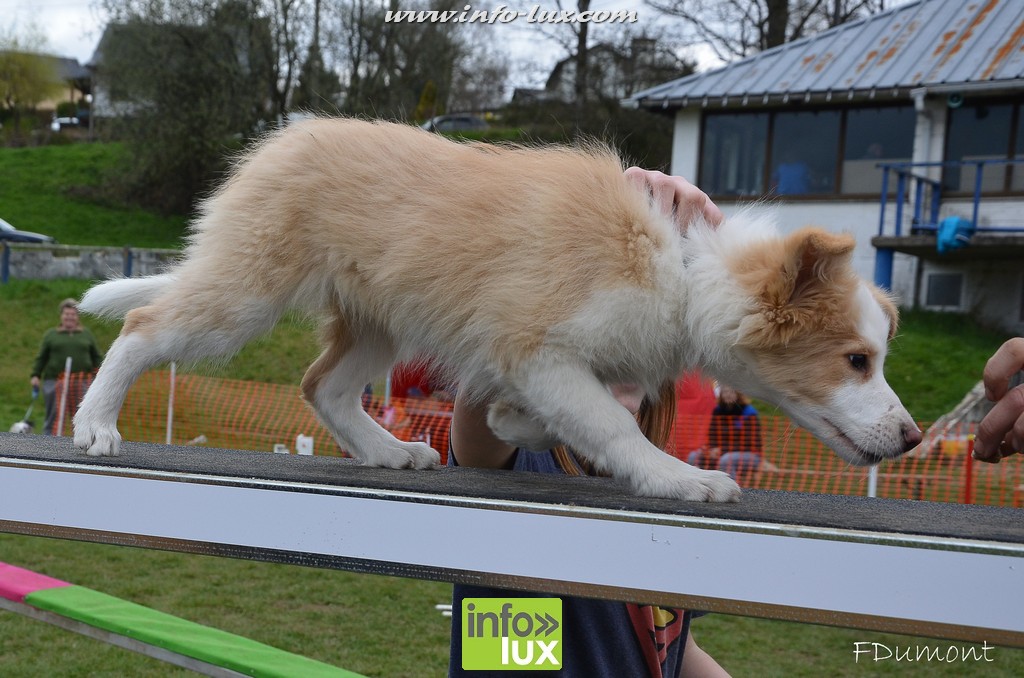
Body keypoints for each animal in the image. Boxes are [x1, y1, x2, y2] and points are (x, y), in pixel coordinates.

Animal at [72, 116, 921, 501]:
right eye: (856, 360)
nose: (913, 438)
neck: (684, 273)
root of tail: (280, 139)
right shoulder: (536, 344)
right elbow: (610, 423)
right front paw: (678, 479)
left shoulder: (539, 362)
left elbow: (559, 416)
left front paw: (517, 423)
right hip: (247, 291)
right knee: (144, 326)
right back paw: (97, 426)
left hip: (379, 320)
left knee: (325, 385)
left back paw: (388, 450)